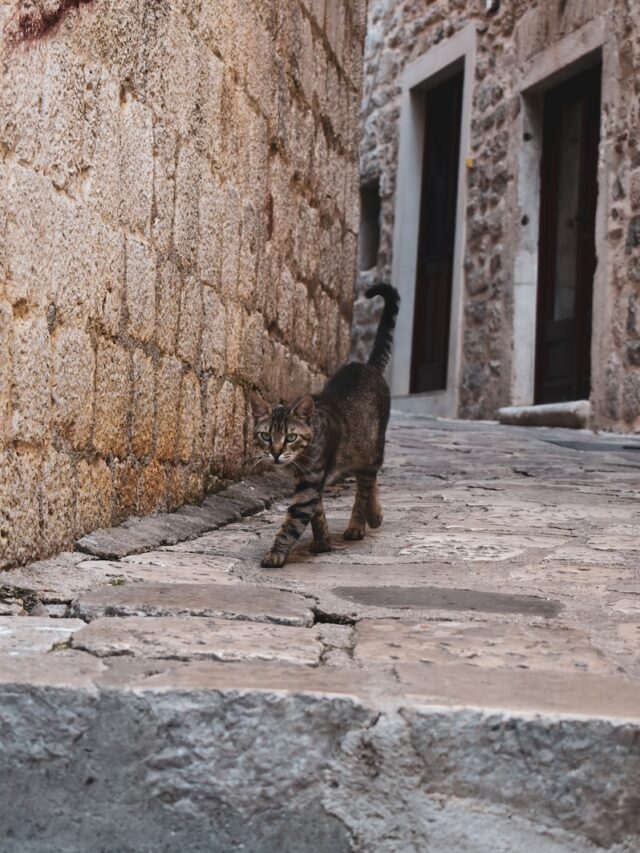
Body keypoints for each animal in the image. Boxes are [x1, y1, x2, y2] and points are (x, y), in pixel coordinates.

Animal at [248, 282, 398, 568]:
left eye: (291, 437)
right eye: (265, 436)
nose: (275, 453)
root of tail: (368, 366)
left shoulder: (310, 481)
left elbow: (293, 522)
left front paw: (275, 553)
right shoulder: (307, 481)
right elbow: (317, 512)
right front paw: (322, 541)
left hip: (371, 448)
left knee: (365, 485)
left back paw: (358, 525)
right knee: (371, 480)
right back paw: (374, 517)